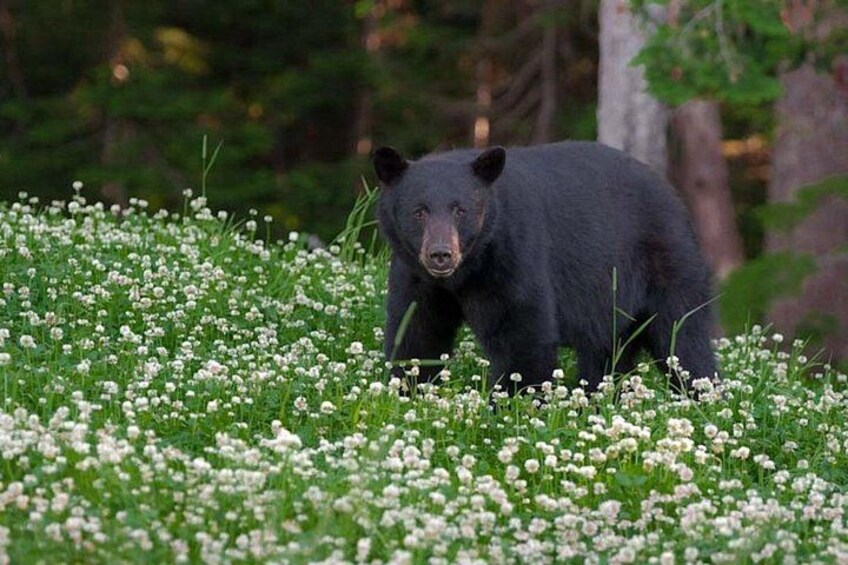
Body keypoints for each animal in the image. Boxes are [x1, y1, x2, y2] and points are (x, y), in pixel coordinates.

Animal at [373, 141, 718, 394]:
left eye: (461, 210)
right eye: (419, 211)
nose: (441, 254)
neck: (465, 273)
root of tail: (673, 194)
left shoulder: (514, 256)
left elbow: (522, 334)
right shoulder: (415, 277)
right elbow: (416, 333)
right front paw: (408, 390)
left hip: (666, 265)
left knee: (684, 340)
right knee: (606, 356)